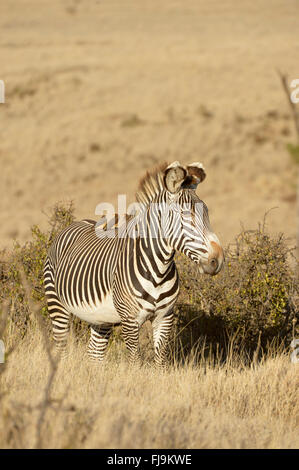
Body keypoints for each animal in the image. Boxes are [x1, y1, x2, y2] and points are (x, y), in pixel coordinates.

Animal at [43, 162, 224, 368]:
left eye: (207, 213)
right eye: (185, 215)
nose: (217, 260)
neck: (158, 270)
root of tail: (75, 223)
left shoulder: (164, 317)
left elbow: (160, 363)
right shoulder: (130, 320)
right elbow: (135, 362)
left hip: (100, 317)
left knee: (95, 354)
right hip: (57, 305)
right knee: (62, 348)